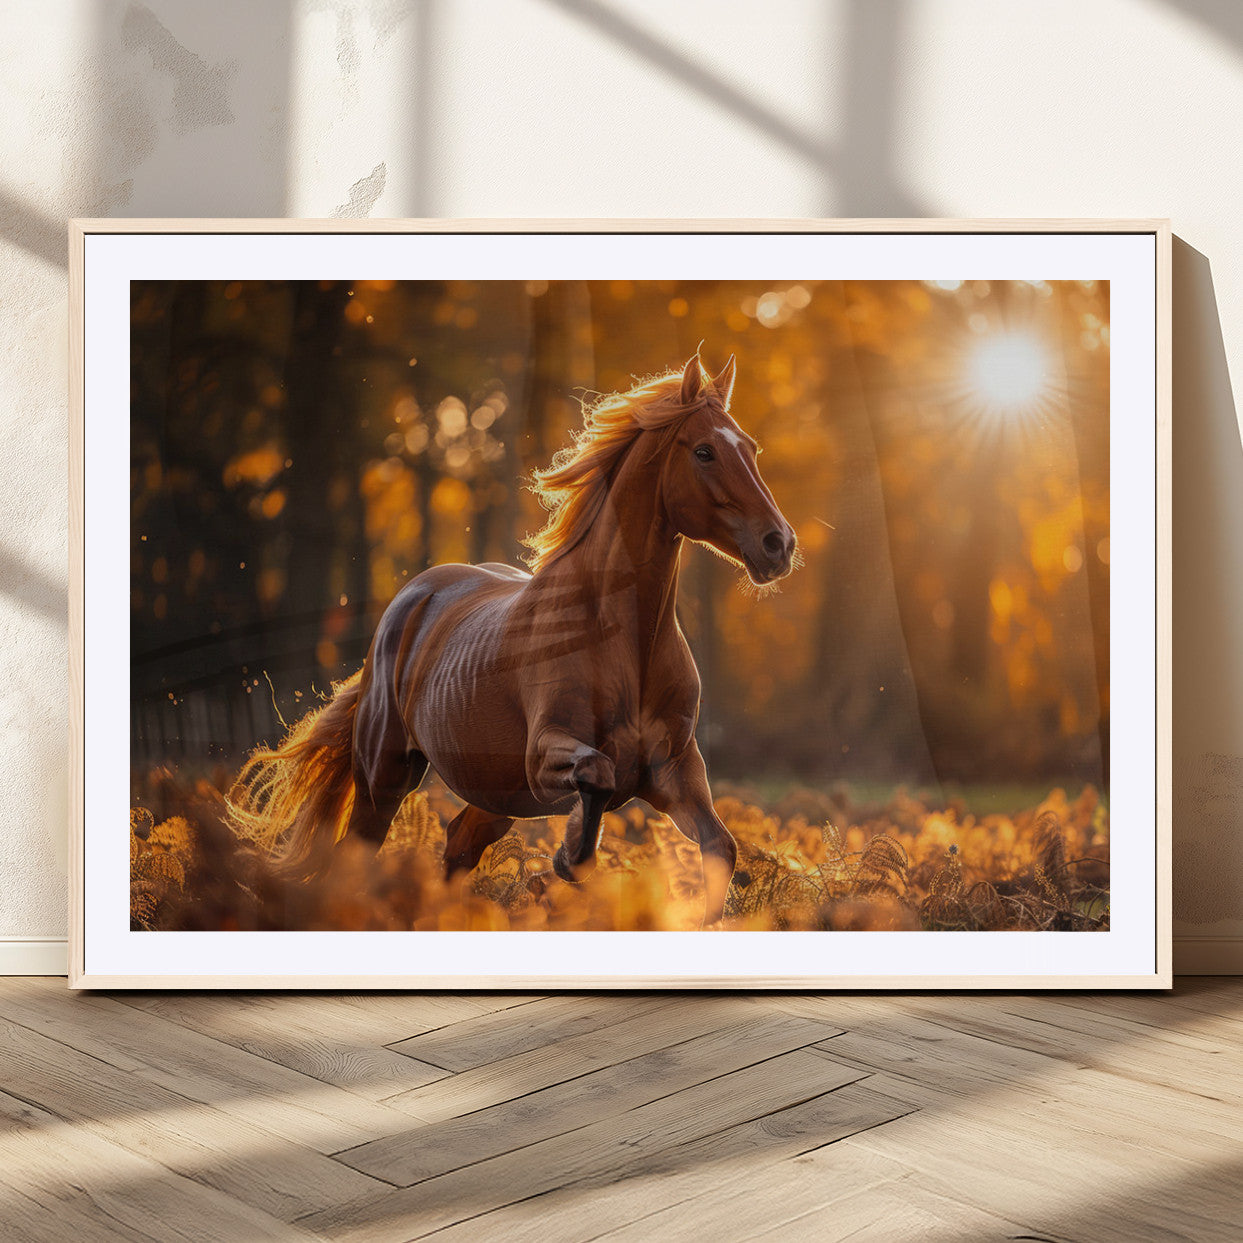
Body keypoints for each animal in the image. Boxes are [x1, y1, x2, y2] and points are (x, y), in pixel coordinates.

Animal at [227, 352, 797, 924]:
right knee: (361, 854)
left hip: (492, 794)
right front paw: (567, 858)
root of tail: (408, 601)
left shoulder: (675, 770)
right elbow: (596, 778)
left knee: (459, 844)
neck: (625, 645)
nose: (779, 544)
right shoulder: (545, 759)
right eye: (704, 451)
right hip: (385, 777)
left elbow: (721, 848)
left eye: (750, 448)